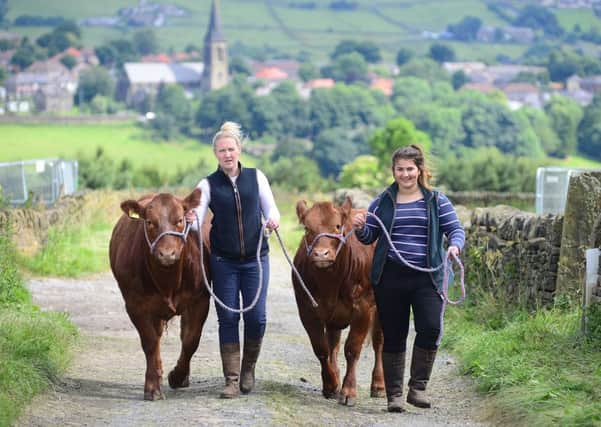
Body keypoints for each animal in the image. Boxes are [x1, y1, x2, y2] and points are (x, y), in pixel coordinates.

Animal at [109, 191, 210, 402]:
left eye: (180, 220)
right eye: (149, 222)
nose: (167, 254)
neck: (168, 281)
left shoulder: (200, 300)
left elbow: (191, 340)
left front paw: (177, 376)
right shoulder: (135, 305)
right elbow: (150, 342)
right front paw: (153, 387)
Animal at [292, 198, 384, 408]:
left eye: (338, 226)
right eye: (307, 228)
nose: (321, 254)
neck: (330, 284)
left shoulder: (363, 308)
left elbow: (352, 349)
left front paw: (348, 391)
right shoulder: (306, 309)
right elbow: (322, 349)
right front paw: (330, 384)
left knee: (379, 342)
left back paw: (379, 385)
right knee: (333, 343)